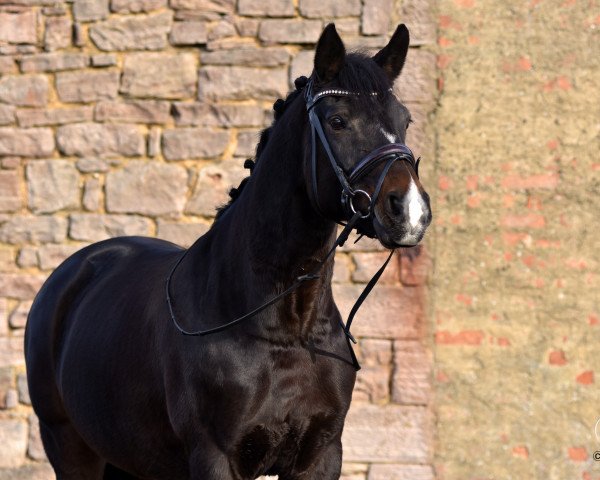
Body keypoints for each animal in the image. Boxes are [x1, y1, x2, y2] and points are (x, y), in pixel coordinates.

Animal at [25, 23, 432, 480]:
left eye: (404, 120)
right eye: (338, 121)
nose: (410, 211)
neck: (283, 329)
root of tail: (72, 273)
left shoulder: (322, 455)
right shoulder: (215, 456)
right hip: (69, 446)